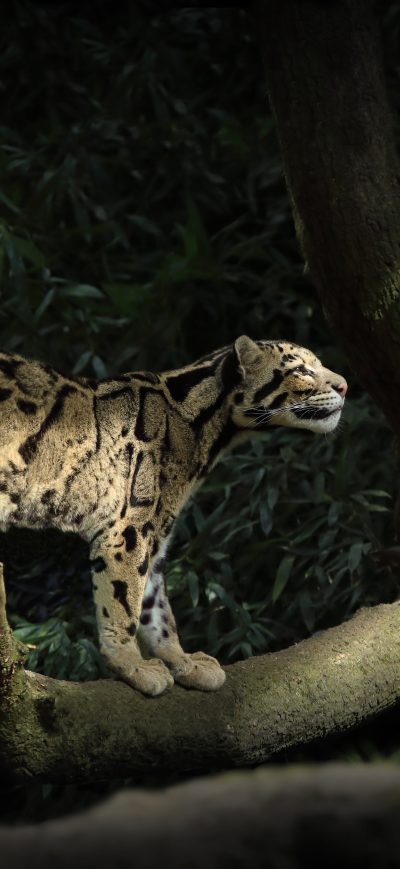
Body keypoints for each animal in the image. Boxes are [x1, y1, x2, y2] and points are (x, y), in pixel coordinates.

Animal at [0, 335, 347, 695]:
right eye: (301, 370)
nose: (346, 385)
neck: (204, 431)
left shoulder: (157, 533)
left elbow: (157, 607)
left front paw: (182, 661)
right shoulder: (129, 529)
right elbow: (124, 604)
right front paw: (132, 664)